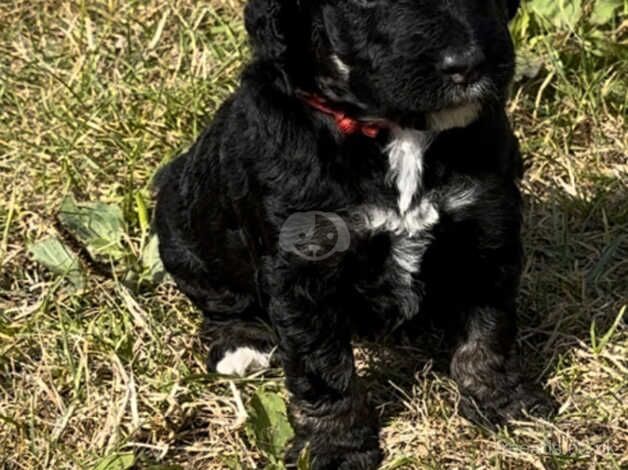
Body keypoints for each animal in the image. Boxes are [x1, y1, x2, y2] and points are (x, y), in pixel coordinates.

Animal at [155, 0, 552, 466]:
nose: (468, 64)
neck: (397, 131)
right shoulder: (304, 265)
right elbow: (321, 365)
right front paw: (335, 444)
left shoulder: (487, 224)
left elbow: (489, 325)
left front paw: (499, 398)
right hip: (184, 229)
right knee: (220, 300)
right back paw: (240, 344)